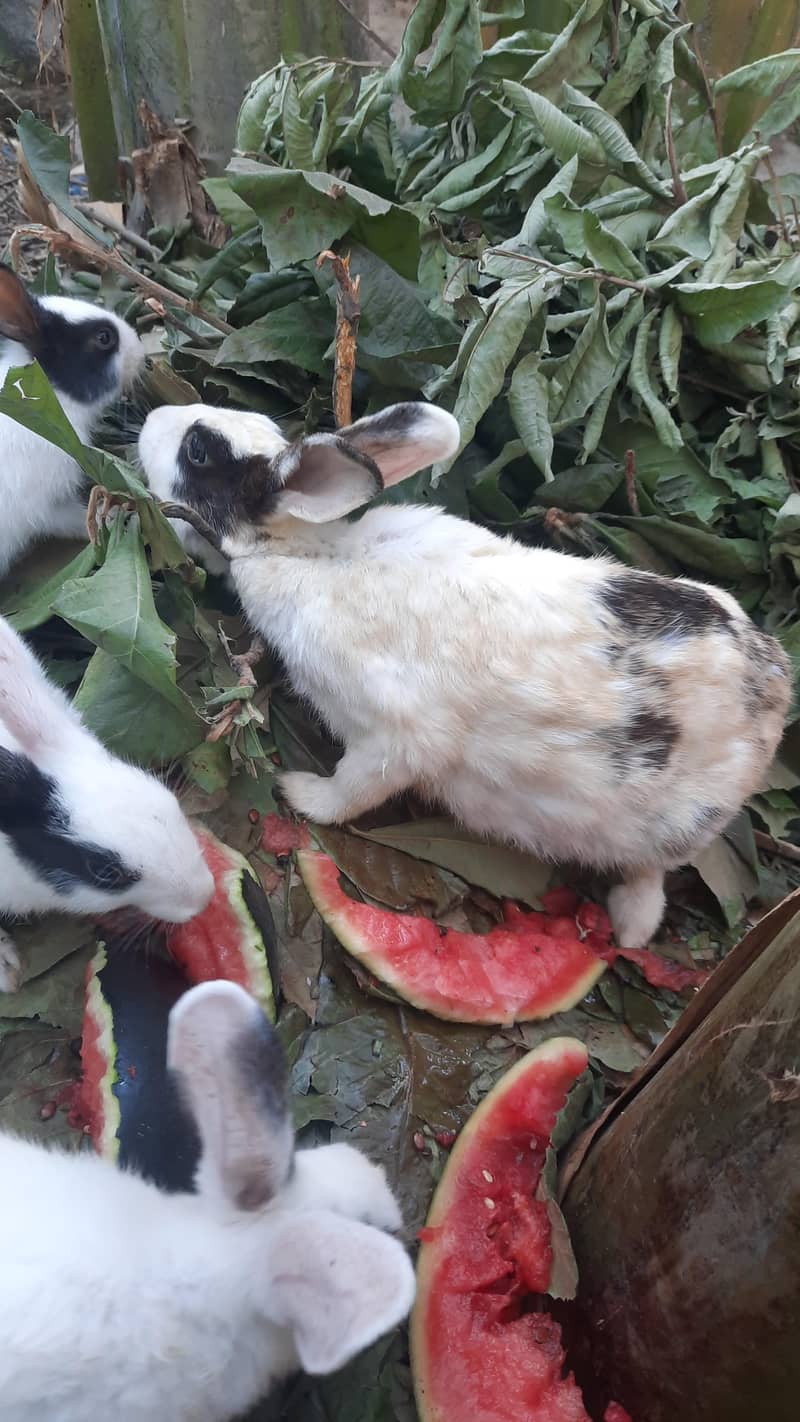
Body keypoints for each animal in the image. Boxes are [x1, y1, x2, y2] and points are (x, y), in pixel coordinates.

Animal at [138, 401, 791, 949]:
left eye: (198, 452)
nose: (151, 416)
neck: (311, 554)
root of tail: (774, 685)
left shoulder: (395, 740)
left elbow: (351, 791)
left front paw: (298, 792)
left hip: (665, 830)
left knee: (649, 876)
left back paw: (630, 928)